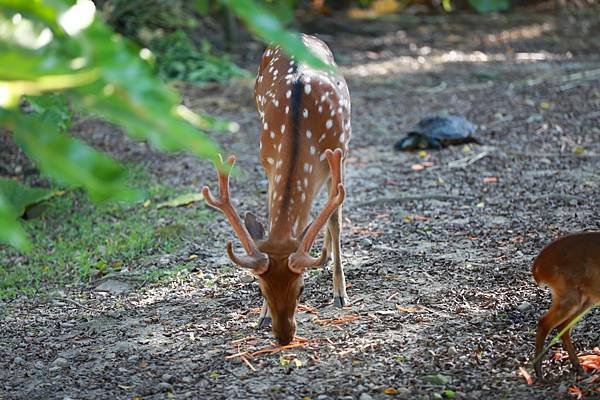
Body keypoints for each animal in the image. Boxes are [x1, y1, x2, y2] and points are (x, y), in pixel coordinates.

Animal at [203, 35, 352, 344]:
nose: (283, 336)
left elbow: (335, 220)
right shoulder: (268, 163)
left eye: (301, 288)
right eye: (261, 288)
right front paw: (261, 316)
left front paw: (340, 293)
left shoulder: (339, 153)